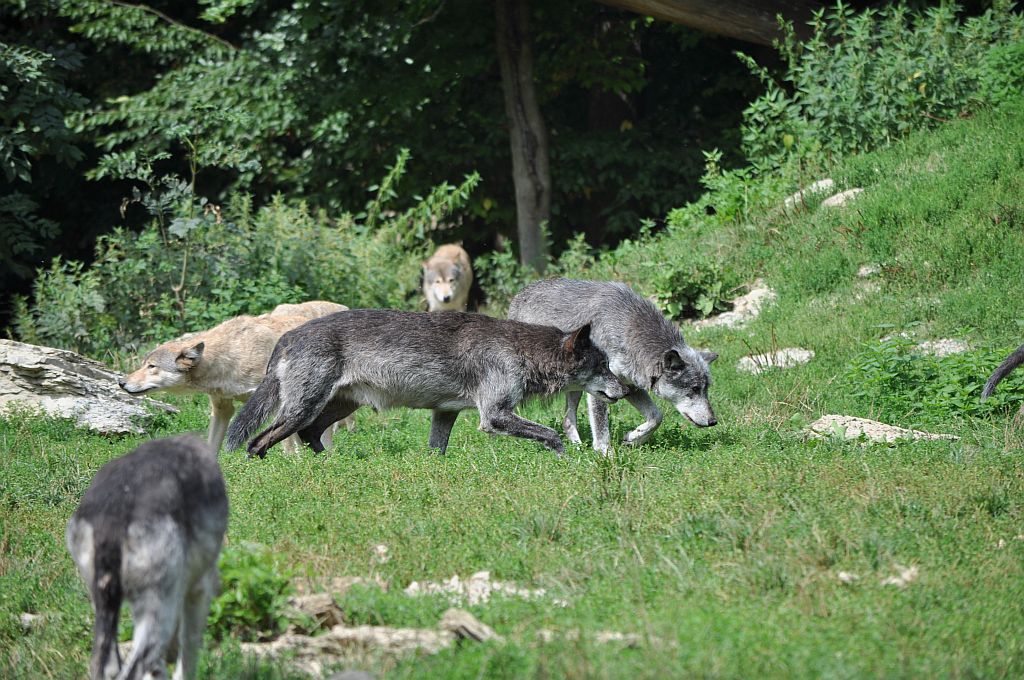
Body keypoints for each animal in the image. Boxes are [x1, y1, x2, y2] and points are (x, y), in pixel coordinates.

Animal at [66, 434, 228, 680]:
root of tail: (111, 522)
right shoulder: (200, 587)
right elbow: (189, 648)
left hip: (102, 598)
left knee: (105, 665)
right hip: (157, 602)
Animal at [119, 310, 350, 453]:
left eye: (152, 367)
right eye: (143, 364)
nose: (121, 382)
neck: (231, 356)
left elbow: (288, 446)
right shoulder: (222, 409)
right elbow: (213, 446)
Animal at [225, 309, 628, 458]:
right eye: (603, 366)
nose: (624, 391)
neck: (519, 349)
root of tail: (288, 336)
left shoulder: (444, 415)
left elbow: (437, 452)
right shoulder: (494, 416)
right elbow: (552, 434)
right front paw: (566, 460)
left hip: (336, 406)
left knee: (310, 436)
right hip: (302, 409)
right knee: (258, 441)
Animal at [508, 278, 717, 453]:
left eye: (706, 390)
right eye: (694, 389)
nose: (713, 421)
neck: (628, 330)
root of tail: (519, 295)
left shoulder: (629, 386)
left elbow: (656, 417)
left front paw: (633, 438)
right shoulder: (602, 389)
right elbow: (602, 429)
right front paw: (606, 455)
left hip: (575, 387)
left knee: (567, 420)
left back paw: (578, 449)